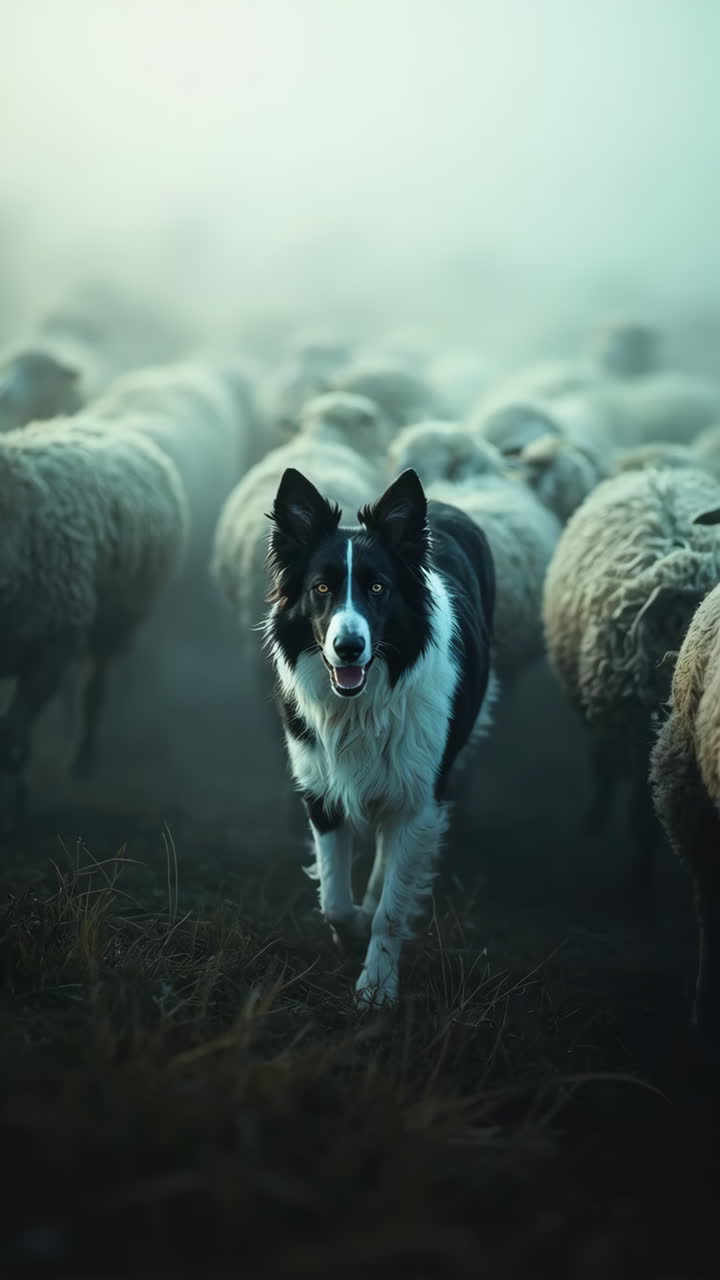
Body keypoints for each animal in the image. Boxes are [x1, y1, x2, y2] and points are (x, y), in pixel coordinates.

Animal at [0, 418, 188, 817]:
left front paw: (15, 799)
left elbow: (10, 734)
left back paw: (83, 761)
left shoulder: (51, 648)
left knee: (95, 689)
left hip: (116, 624)